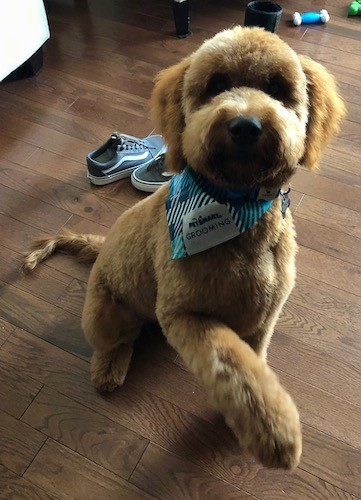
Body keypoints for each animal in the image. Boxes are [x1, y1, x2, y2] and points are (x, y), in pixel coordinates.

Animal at [23, 27, 344, 468]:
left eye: (278, 89)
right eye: (216, 85)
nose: (246, 126)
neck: (238, 212)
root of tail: (101, 247)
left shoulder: (264, 315)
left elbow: (253, 368)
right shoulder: (183, 313)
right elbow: (236, 369)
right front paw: (275, 433)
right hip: (103, 313)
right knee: (113, 341)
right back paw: (109, 368)